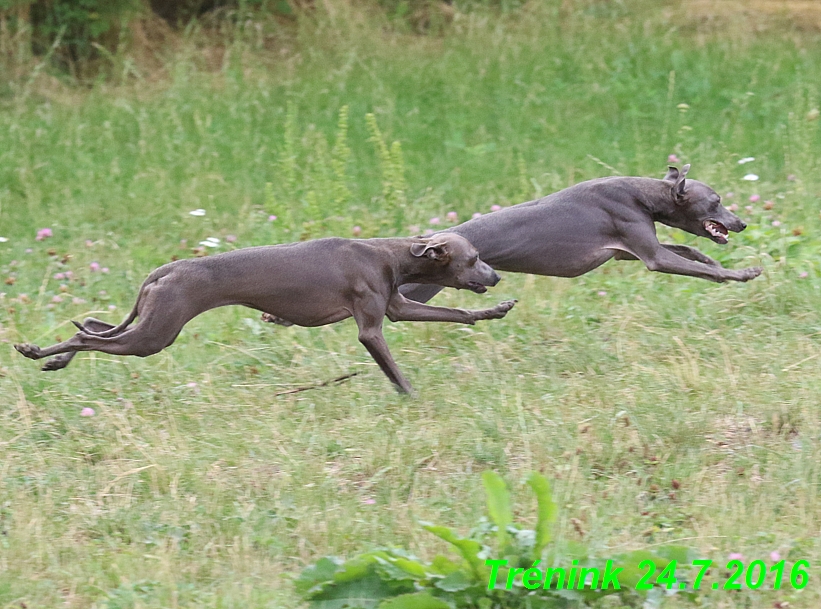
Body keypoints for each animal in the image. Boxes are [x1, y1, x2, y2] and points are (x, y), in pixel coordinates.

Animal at [14, 233, 512, 394]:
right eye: (473, 259)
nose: (495, 276)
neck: (388, 254)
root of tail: (166, 268)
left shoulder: (398, 307)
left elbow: (456, 312)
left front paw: (494, 310)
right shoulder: (371, 329)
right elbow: (392, 369)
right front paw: (411, 397)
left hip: (150, 324)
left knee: (93, 326)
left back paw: (54, 359)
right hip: (156, 334)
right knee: (88, 336)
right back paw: (36, 352)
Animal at [400, 164, 764, 304]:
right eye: (716, 201)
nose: (742, 223)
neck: (643, 194)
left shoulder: (627, 252)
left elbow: (692, 253)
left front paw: (714, 262)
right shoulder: (651, 256)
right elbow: (695, 266)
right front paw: (744, 273)